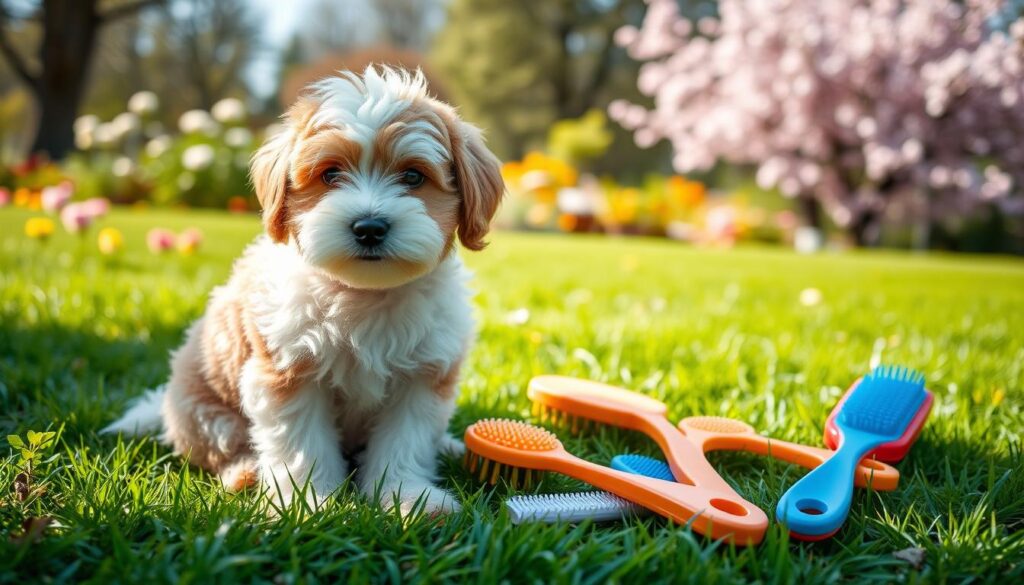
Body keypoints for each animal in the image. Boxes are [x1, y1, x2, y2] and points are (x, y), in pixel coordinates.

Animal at [103, 66, 503, 514]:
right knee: (219, 448)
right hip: (204, 409)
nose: (369, 227)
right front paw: (305, 503)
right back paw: (244, 473)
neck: (362, 294)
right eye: (330, 175)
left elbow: (405, 443)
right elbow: (301, 445)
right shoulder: (288, 371)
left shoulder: (422, 377)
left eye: (413, 176)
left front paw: (409, 497)